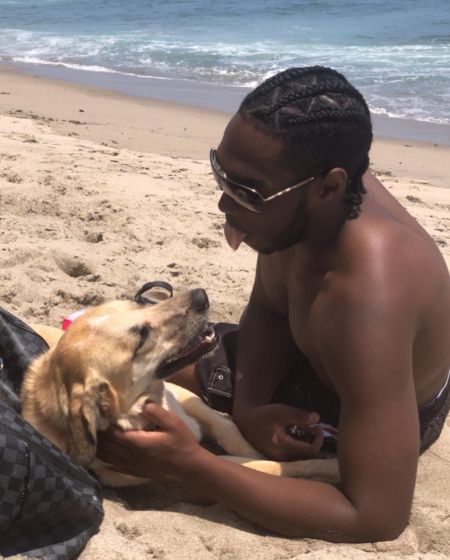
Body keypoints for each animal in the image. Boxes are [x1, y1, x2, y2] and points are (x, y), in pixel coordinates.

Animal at [22, 288, 338, 487]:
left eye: (136, 304)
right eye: (142, 336)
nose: (201, 295)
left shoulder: (187, 398)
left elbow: (230, 430)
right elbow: (275, 467)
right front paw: (329, 466)